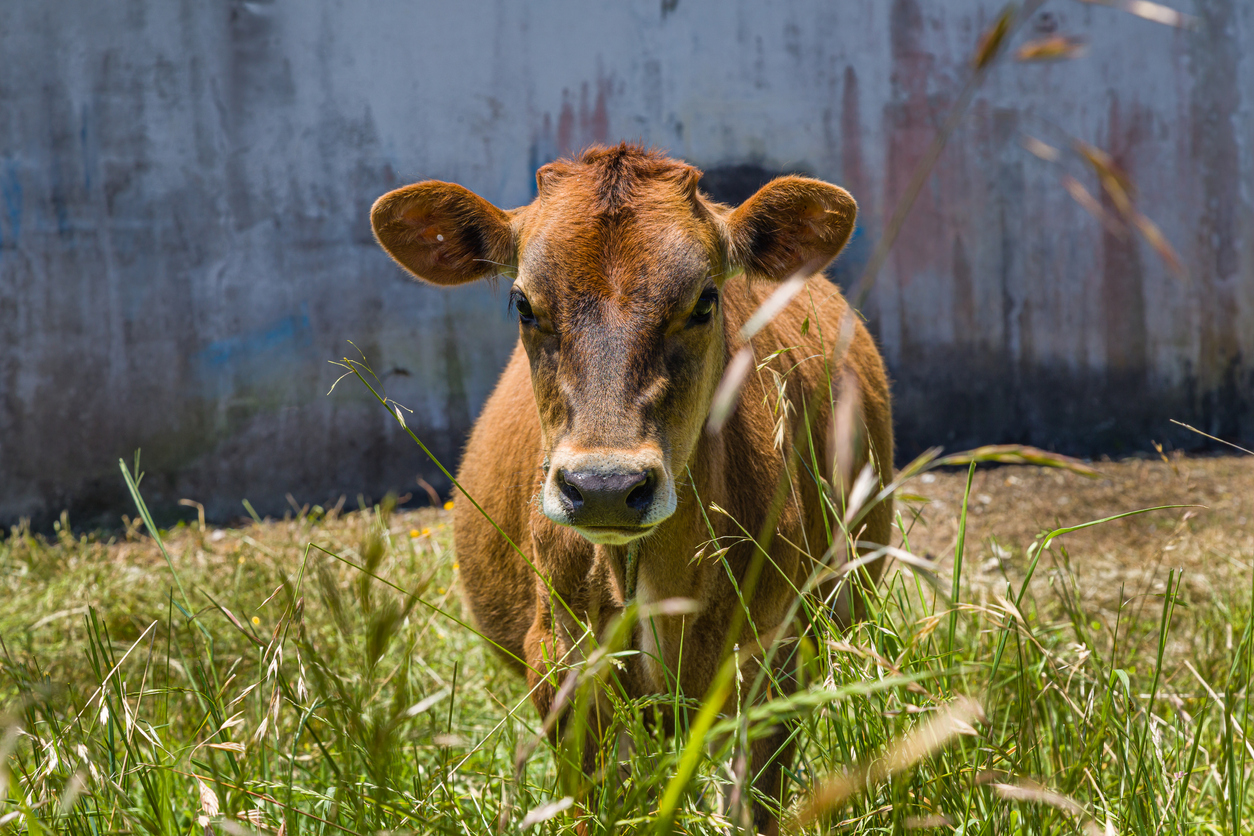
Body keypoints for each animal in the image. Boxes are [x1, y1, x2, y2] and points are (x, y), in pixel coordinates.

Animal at [370, 143, 893, 832]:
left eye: (705, 300)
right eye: (523, 304)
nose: (604, 487)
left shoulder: (774, 657)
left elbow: (753, 800)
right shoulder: (562, 662)